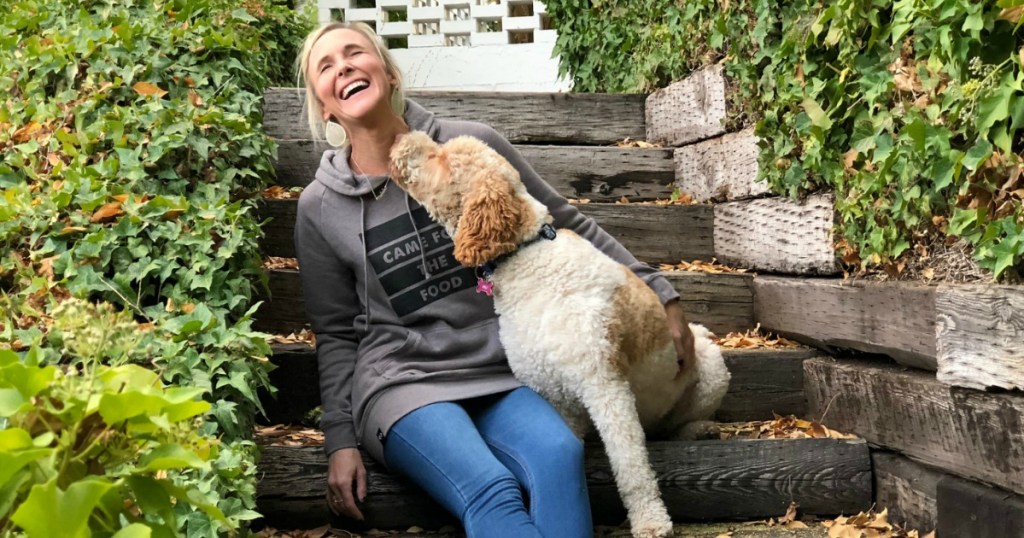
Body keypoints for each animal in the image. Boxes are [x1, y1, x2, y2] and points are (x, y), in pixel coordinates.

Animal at [387, 131, 733, 536]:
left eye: (441, 159)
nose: (401, 137)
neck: (527, 257)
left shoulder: (606, 387)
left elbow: (631, 467)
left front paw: (651, 520)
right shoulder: (551, 391)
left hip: (710, 365)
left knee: (678, 423)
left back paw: (699, 430)